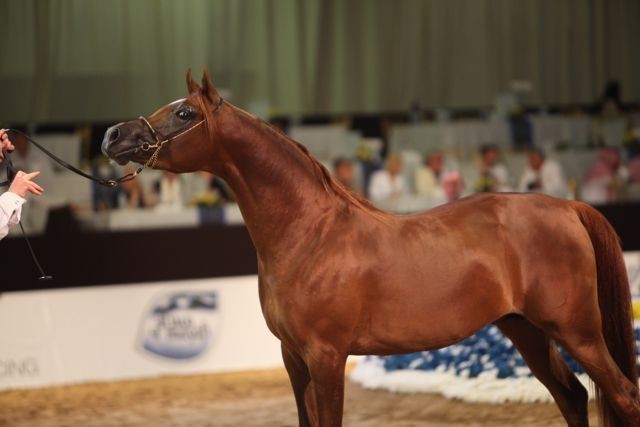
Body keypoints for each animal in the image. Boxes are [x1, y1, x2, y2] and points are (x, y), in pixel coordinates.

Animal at [102, 70, 640, 427]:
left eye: (184, 112)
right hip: (525, 329)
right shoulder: (293, 358)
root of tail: (567, 205)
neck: (308, 235)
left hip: (577, 331)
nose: (113, 135)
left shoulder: (326, 357)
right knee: (572, 397)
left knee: (622, 395)